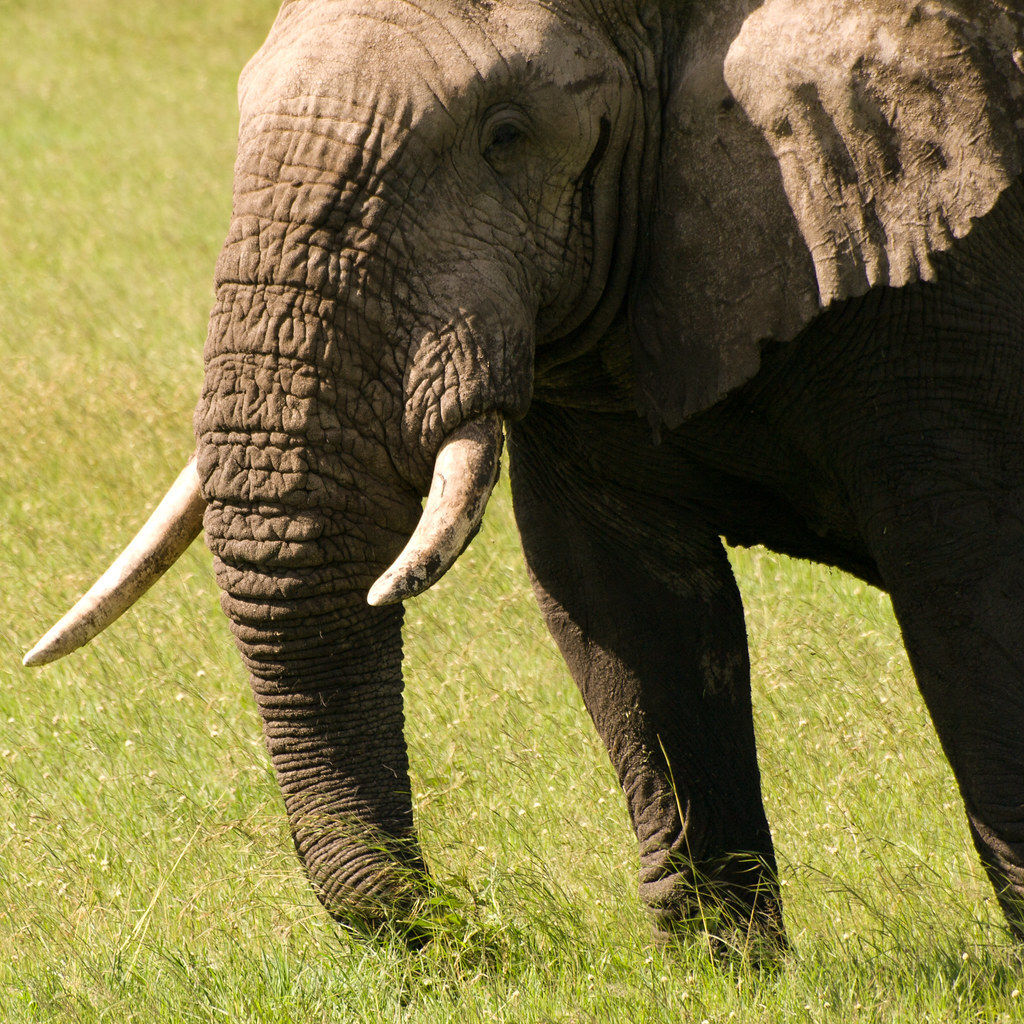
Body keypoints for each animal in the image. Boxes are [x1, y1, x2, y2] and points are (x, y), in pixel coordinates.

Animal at [24, 0, 1024, 954]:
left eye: (506, 135)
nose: (462, 929)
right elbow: (623, 603)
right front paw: (725, 972)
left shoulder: (941, 281)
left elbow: (966, 595)